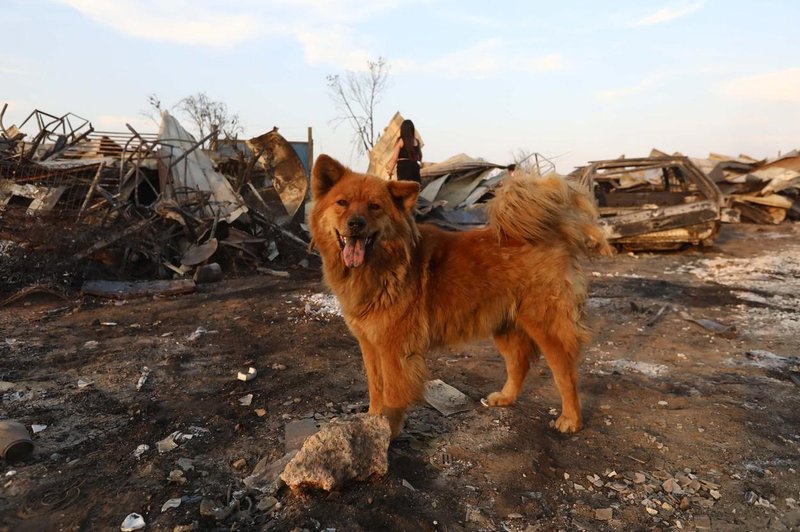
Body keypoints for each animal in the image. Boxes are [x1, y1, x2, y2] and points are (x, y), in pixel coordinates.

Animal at [310, 154, 608, 436]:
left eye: (374, 206)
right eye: (342, 202)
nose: (355, 223)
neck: (382, 266)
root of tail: (550, 230)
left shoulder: (394, 347)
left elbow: (392, 395)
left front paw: (389, 433)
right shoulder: (370, 344)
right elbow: (375, 388)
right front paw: (373, 423)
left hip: (545, 325)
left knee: (565, 373)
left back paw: (570, 419)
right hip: (505, 326)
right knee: (519, 364)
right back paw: (506, 397)